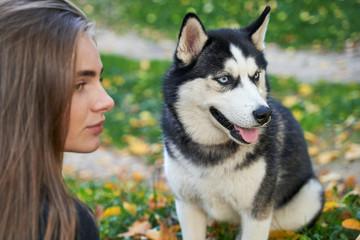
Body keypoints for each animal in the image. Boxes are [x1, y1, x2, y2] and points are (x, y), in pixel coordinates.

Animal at [162, 6, 324, 240]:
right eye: (224, 79)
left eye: (256, 75)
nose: (265, 114)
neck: (212, 151)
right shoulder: (187, 206)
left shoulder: (257, 213)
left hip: (309, 196)